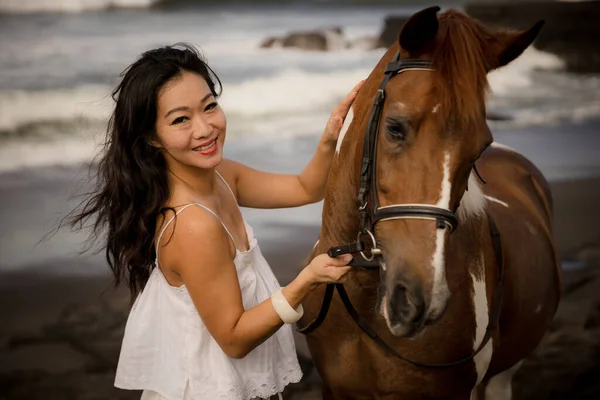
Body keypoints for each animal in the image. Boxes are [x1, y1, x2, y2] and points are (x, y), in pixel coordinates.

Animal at [300, 7, 564, 400]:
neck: (364, 300)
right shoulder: (335, 390)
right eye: (394, 127)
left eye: (480, 147)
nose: (415, 301)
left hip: (503, 376)